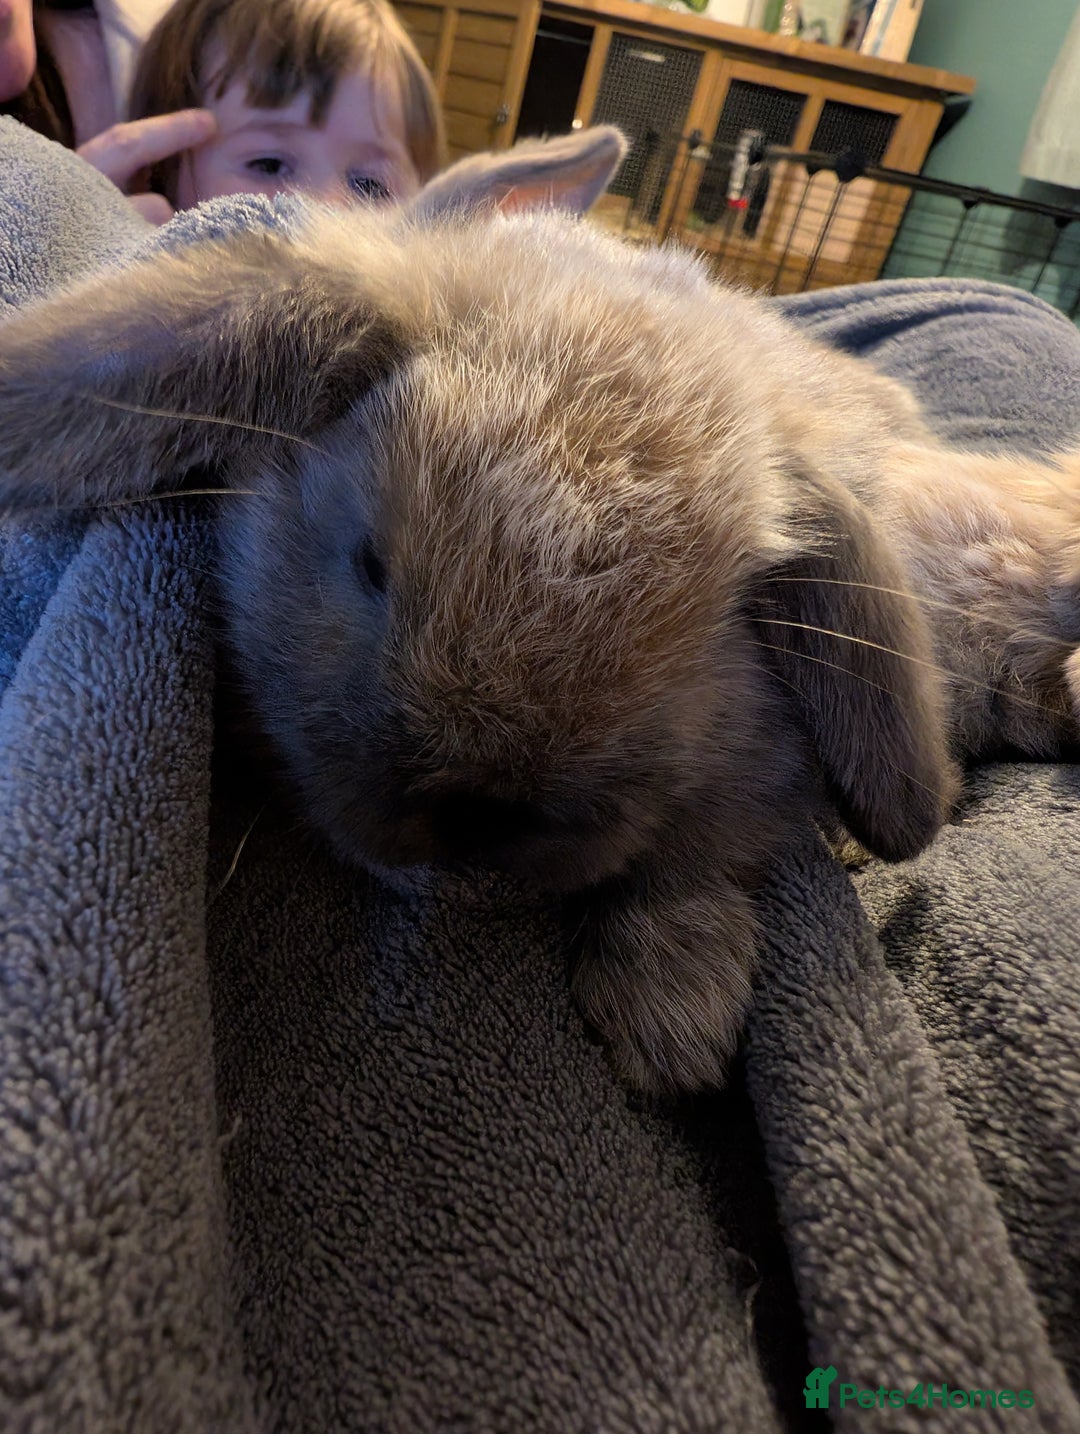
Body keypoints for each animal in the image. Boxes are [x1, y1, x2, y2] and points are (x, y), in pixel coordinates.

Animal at [1, 125, 1078, 1093]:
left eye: (695, 645)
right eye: (370, 562)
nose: (475, 816)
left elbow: (695, 859)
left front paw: (671, 1022)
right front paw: (676, 1021)